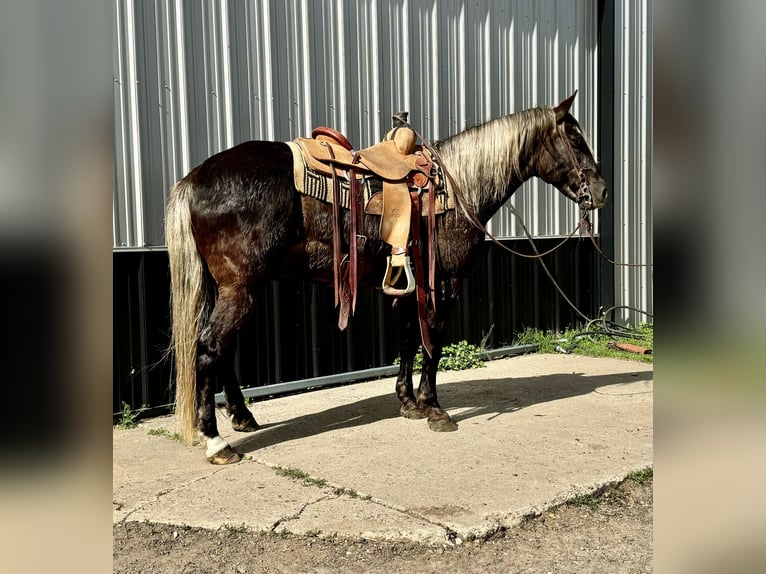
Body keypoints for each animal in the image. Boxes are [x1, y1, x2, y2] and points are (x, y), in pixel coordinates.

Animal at [165, 92, 608, 466]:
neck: (457, 187)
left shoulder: (411, 287)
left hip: (231, 289)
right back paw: (216, 441)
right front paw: (434, 408)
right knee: (210, 348)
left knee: (223, 350)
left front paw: (408, 402)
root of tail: (194, 179)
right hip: (240, 289)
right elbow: (432, 344)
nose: (602, 191)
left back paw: (242, 416)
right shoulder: (443, 285)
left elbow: (409, 340)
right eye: (576, 140)